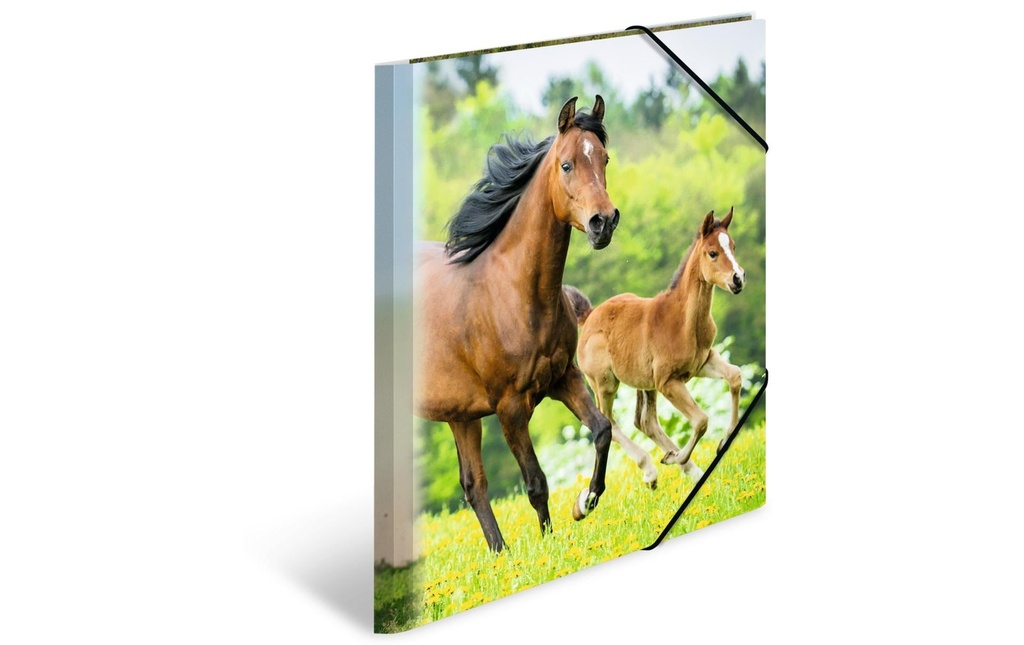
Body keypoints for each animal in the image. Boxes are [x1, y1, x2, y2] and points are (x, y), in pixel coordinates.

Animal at [414, 96, 621, 552]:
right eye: (566, 165)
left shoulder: (564, 377)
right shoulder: (510, 408)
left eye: (604, 158)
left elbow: (602, 430)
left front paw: (586, 501)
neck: (513, 294)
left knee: (473, 485)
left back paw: (500, 554)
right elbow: (536, 482)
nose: (603, 222)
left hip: (460, 414)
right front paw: (548, 545)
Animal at [567, 208, 744, 490]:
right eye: (712, 253)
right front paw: (677, 456)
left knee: (645, 421)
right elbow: (701, 420)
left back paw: (690, 470)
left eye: (733, 246)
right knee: (609, 423)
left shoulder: (703, 362)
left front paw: (722, 441)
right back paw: (652, 470)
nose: (738, 279)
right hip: (605, 383)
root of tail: (590, 315)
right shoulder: (667, 381)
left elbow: (735, 376)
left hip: (644, 382)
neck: (683, 321)